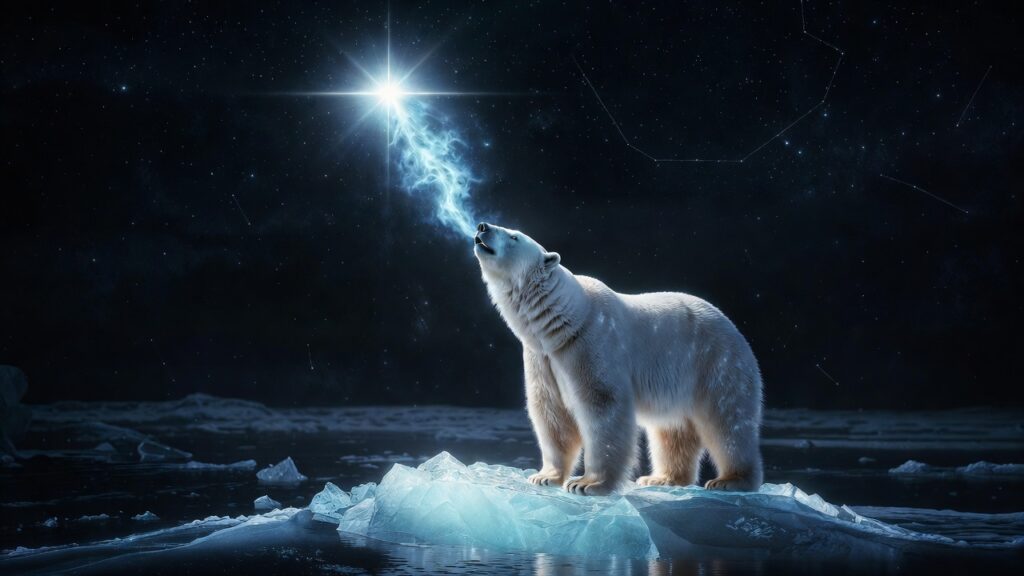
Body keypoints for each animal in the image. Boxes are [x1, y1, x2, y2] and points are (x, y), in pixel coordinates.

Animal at [473, 222, 763, 495]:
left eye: (514, 236)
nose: (482, 226)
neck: (564, 320)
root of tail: (732, 327)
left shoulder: (593, 342)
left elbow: (603, 405)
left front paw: (587, 483)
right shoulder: (542, 358)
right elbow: (552, 413)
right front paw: (545, 477)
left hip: (716, 363)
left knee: (728, 421)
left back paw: (731, 480)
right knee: (672, 428)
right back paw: (662, 478)